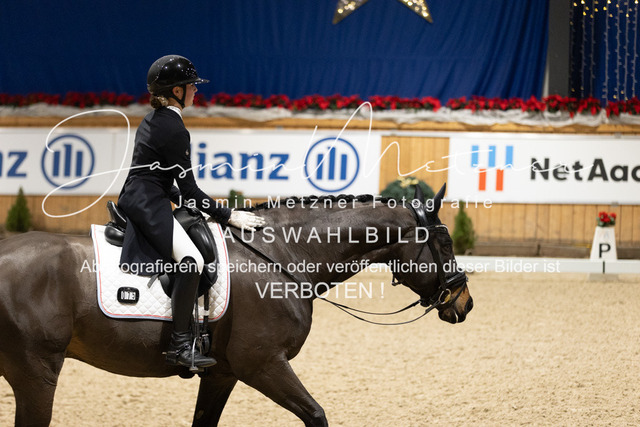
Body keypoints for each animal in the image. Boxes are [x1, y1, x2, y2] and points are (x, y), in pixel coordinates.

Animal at [0, 184, 472, 426]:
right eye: (446, 242)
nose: (464, 303)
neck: (283, 255)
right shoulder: (261, 364)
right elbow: (316, 415)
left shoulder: (223, 373)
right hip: (37, 373)